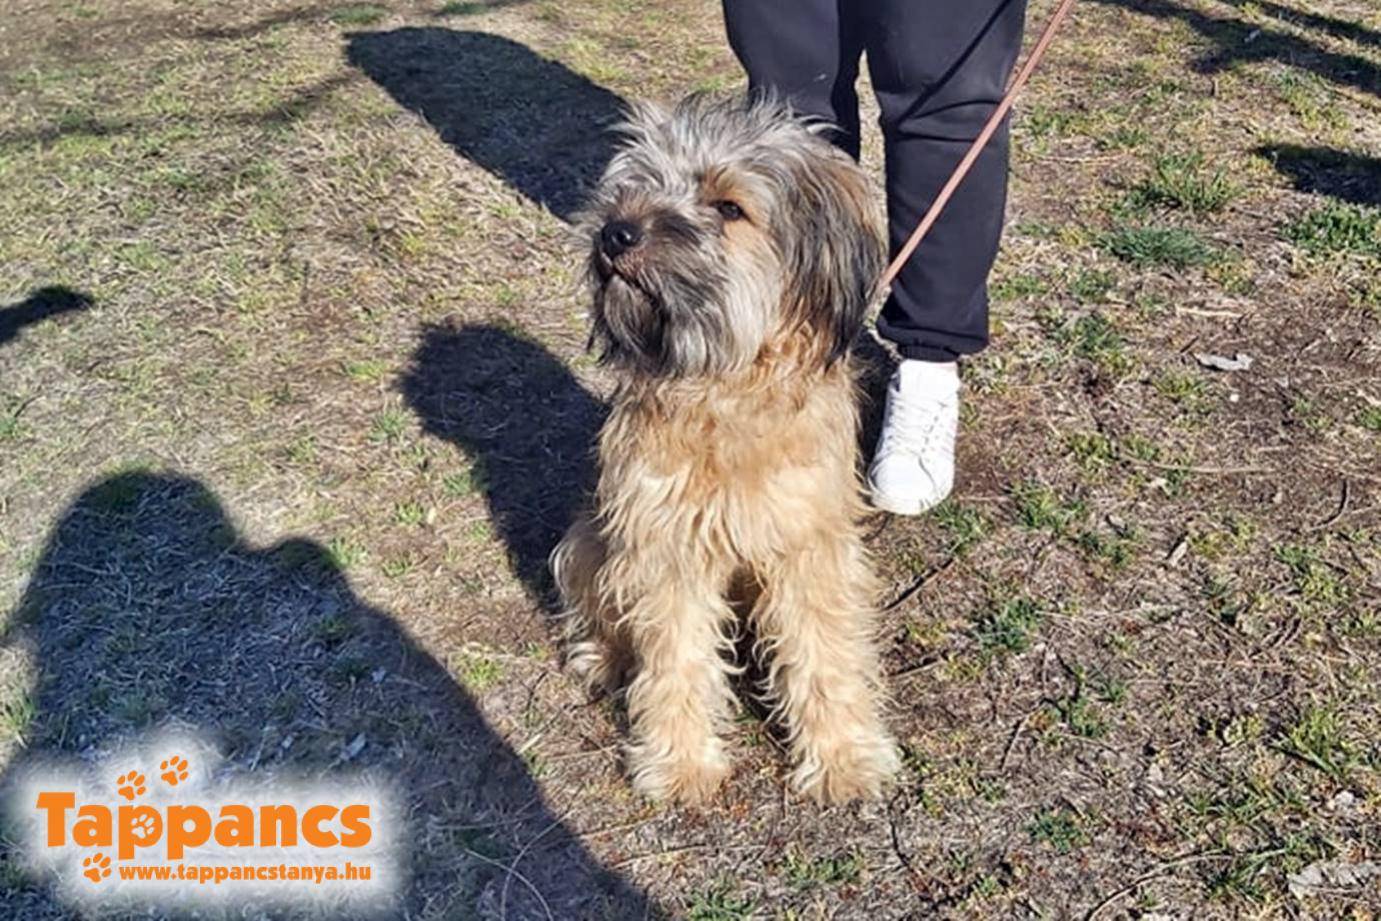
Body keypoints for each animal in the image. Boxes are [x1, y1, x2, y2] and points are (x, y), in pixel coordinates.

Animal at [551, 95, 900, 804]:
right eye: (637, 183)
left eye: (729, 206)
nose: (615, 233)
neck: (726, 390)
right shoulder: (664, 541)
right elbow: (675, 656)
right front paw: (680, 764)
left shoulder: (808, 540)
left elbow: (824, 649)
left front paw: (843, 757)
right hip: (590, 536)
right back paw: (604, 656)